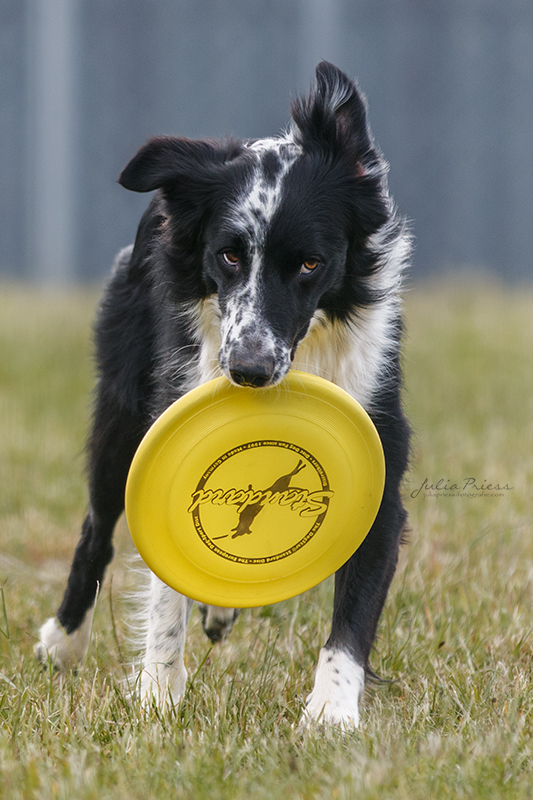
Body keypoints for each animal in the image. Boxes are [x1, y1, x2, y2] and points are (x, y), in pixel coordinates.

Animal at [35, 59, 410, 728]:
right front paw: (159, 693)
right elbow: (164, 587)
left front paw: (331, 711)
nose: (249, 372)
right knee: (96, 527)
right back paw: (64, 640)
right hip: (122, 411)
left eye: (311, 264)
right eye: (228, 255)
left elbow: (354, 612)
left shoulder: (381, 457)